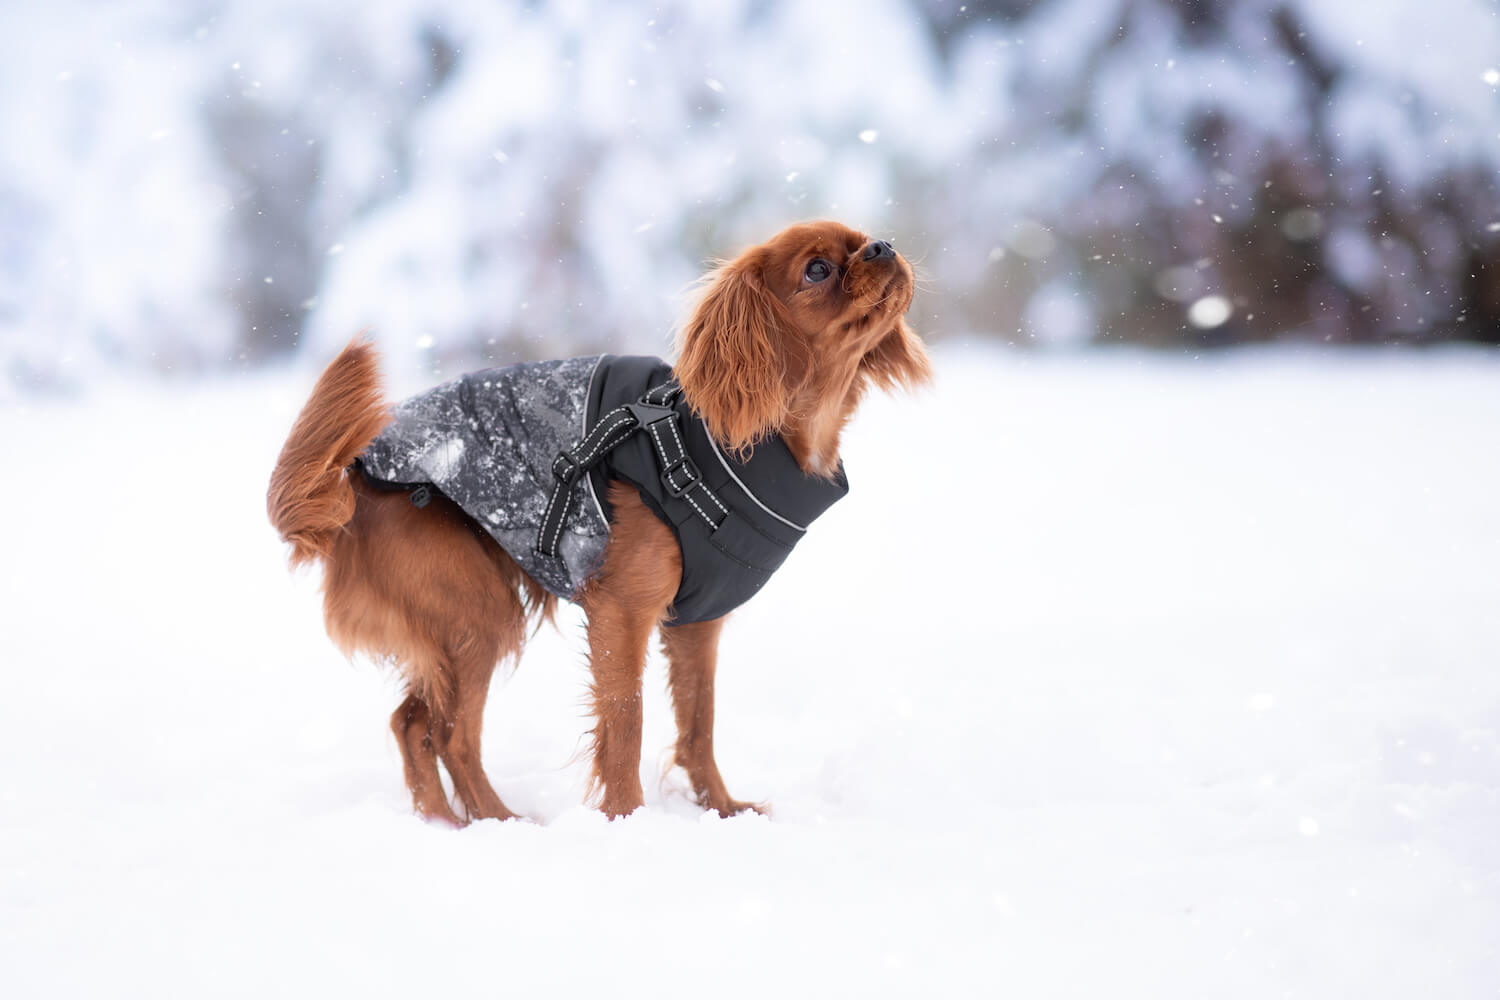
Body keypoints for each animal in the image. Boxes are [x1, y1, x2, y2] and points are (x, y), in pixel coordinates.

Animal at [267, 223, 924, 827]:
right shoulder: (622, 612)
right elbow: (626, 722)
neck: (729, 443)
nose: (883, 247)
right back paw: (502, 823)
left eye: (863, 239)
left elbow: (699, 723)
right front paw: (627, 821)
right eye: (817, 270)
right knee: (450, 734)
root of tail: (352, 477)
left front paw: (722, 811)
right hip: (479, 615)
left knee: (411, 724)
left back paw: (447, 824)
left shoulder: (697, 624)